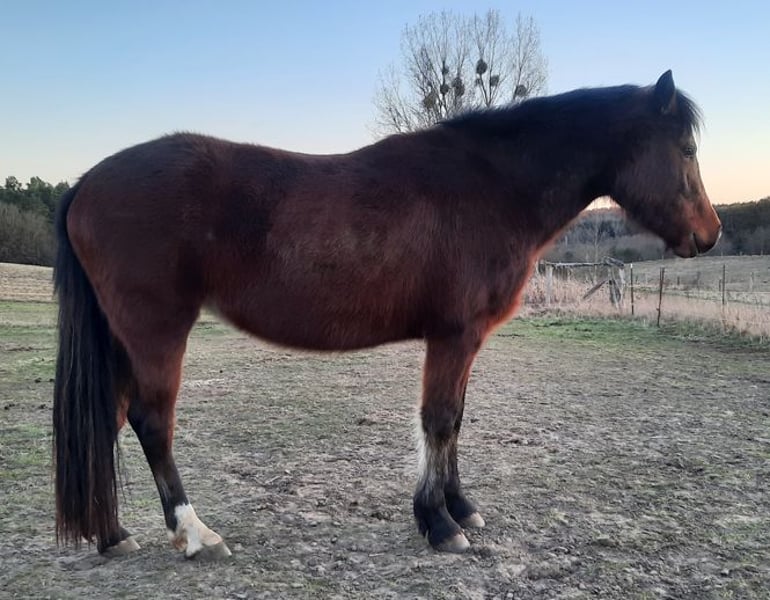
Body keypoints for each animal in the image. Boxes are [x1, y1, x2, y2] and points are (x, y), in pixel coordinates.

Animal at [53, 70, 721, 558]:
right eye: (686, 148)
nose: (710, 234)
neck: (491, 186)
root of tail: (86, 183)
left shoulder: (464, 341)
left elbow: (456, 421)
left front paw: (459, 507)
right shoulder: (453, 335)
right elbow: (440, 422)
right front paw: (440, 524)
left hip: (124, 340)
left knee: (108, 418)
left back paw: (113, 537)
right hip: (157, 332)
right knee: (151, 423)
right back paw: (195, 535)